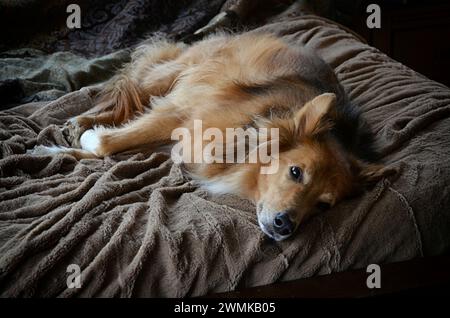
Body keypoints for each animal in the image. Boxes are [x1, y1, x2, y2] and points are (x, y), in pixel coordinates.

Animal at [31, 32, 396, 241]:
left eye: (324, 205)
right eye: (295, 172)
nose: (285, 226)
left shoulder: (178, 138)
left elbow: (111, 149)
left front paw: (54, 153)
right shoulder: (182, 111)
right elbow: (112, 141)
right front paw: (84, 140)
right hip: (171, 77)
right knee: (127, 95)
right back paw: (82, 120)